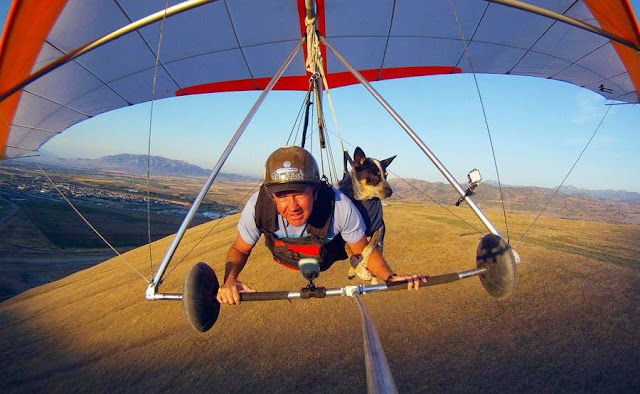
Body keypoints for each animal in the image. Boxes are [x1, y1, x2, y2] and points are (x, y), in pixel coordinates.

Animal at [340, 146, 396, 282]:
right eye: (374, 175)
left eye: (386, 175)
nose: (390, 192)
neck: (364, 200)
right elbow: (348, 249)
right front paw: (358, 269)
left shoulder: (379, 227)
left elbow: (368, 247)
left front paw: (362, 269)